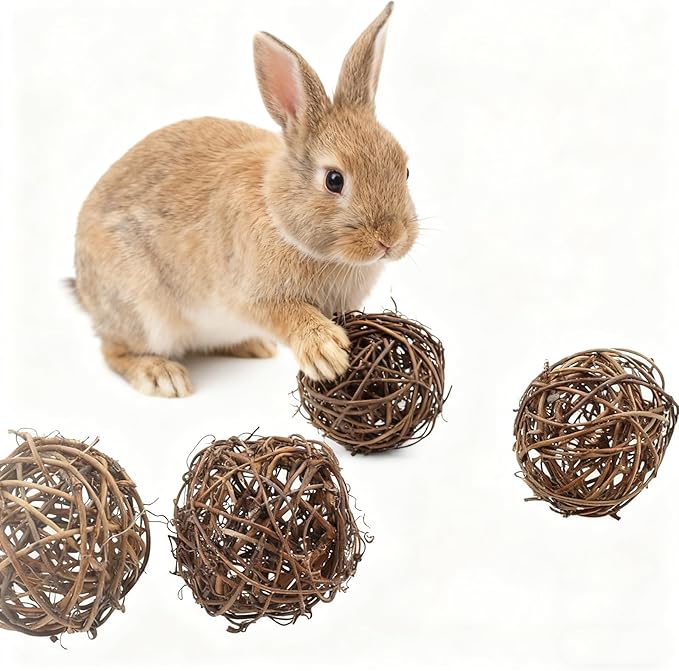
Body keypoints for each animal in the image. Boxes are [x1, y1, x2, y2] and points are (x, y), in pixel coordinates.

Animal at [73, 2, 417, 398]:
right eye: (334, 180)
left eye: (406, 170)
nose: (390, 239)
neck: (279, 215)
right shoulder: (251, 296)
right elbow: (285, 313)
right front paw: (326, 352)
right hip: (140, 308)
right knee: (114, 351)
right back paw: (162, 375)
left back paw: (254, 346)